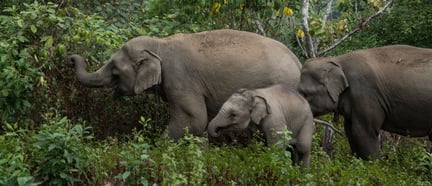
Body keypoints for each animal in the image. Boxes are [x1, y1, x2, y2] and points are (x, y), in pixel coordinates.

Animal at [69, 29, 302, 140]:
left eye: (115, 71)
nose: (70, 58)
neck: (160, 44)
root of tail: (298, 62)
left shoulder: (179, 78)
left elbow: (195, 119)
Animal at [298, 44, 432, 159]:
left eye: (305, 93)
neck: (337, 60)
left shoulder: (364, 94)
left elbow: (363, 133)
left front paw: (375, 166)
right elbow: (350, 131)